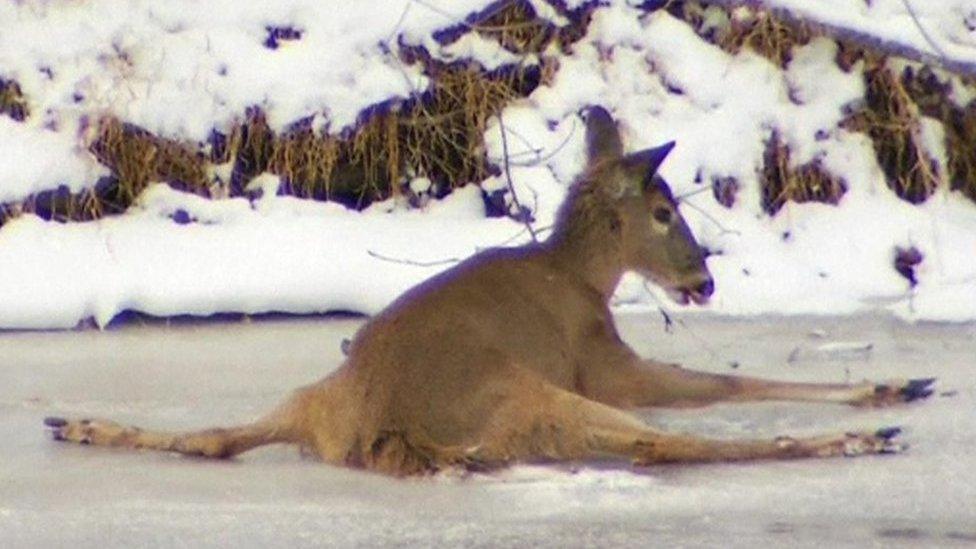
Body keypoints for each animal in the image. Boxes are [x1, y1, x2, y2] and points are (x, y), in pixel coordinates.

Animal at [40, 106, 936, 476]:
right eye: (663, 209)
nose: (703, 279)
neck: (579, 278)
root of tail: (385, 429)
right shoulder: (603, 361)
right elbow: (722, 381)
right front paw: (888, 385)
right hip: (537, 395)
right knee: (664, 444)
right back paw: (865, 436)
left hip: (315, 392)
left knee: (216, 436)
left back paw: (79, 421)